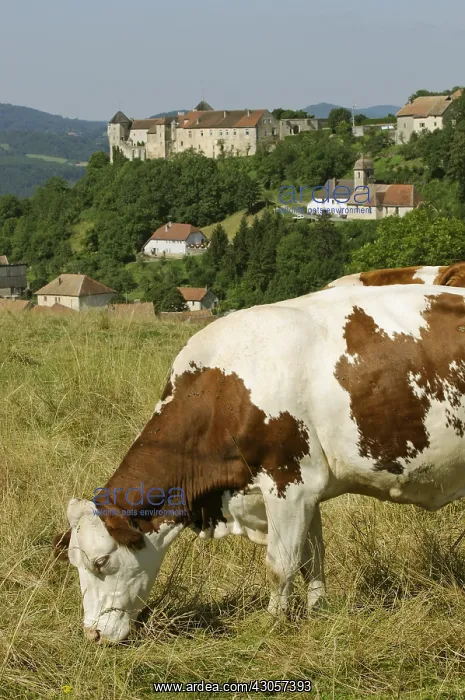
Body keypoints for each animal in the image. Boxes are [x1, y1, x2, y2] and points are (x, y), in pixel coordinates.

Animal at [53, 284, 465, 644]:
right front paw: (318, 611)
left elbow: (281, 563)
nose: (92, 635)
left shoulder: (290, 482)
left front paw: (273, 623)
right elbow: (312, 557)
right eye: (74, 563)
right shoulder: (306, 489)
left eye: (101, 561)